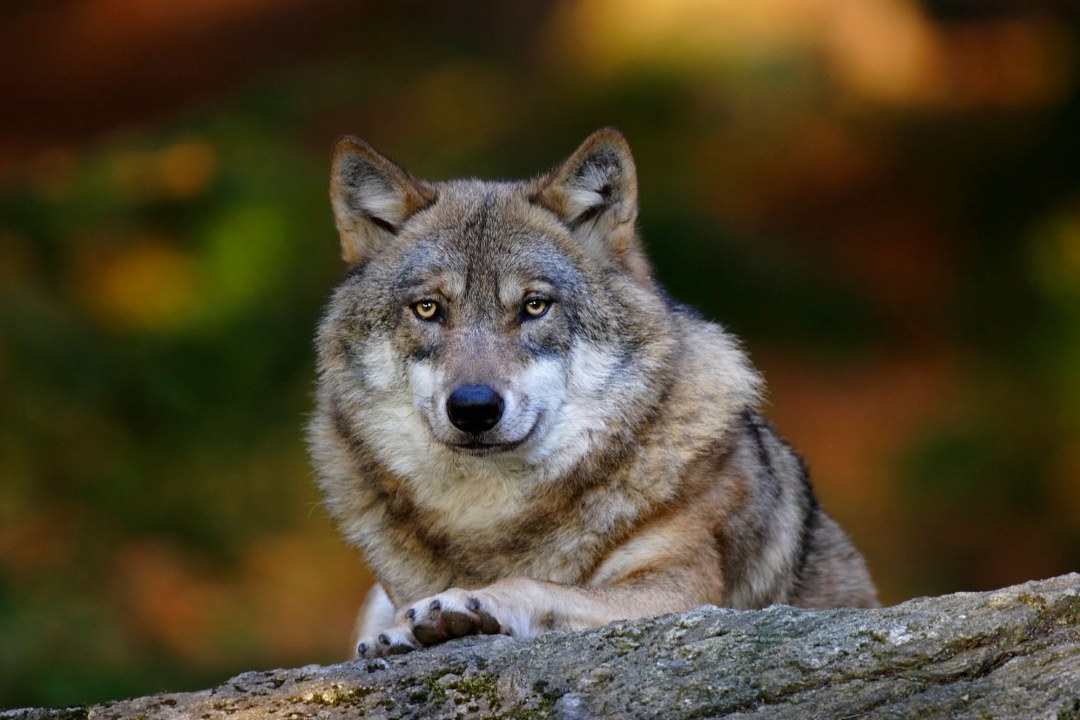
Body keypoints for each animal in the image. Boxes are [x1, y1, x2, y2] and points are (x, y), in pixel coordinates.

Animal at [306, 125, 876, 660]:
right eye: (428, 309)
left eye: (534, 306)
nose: (473, 408)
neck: (489, 517)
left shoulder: (682, 591)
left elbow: (538, 584)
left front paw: (465, 603)